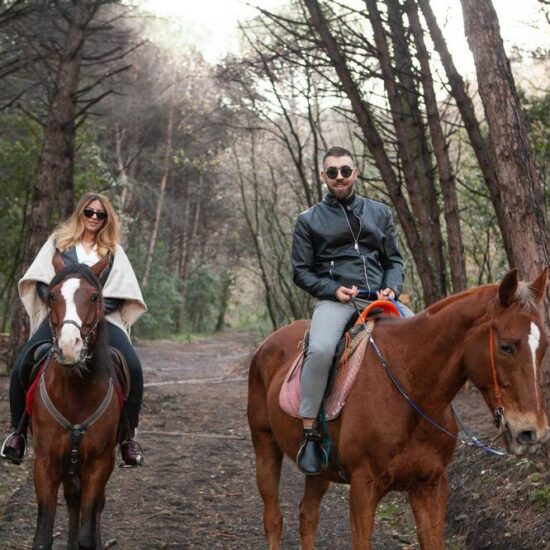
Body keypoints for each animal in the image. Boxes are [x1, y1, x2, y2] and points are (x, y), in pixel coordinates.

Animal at [29, 253, 122, 548]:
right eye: (52, 296)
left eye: (94, 297)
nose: (70, 347)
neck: (75, 394)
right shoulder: (45, 462)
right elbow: (43, 537)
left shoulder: (99, 464)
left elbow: (87, 534)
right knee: (72, 501)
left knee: (94, 507)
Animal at [250, 270, 550, 548]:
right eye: (506, 346)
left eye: (544, 346)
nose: (531, 432)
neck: (410, 391)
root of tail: (265, 345)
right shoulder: (363, 488)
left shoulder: (430, 486)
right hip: (265, 446)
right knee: (273, 519)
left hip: (319, 472)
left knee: (307, 516)